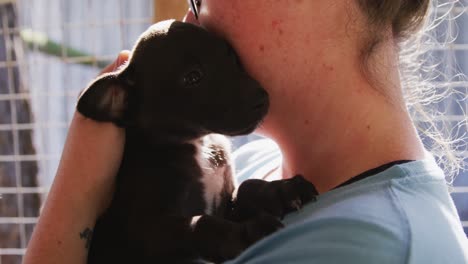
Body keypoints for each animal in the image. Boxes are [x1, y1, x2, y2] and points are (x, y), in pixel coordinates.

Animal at [77, 19, 318, 262]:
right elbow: (202, 225)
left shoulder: (223, 203)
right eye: (192, 77)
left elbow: (246, 187)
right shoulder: (149, 232)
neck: (199, 145)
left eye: (230, 55)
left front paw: (283, 190)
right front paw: (248, 234)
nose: (263, 98)